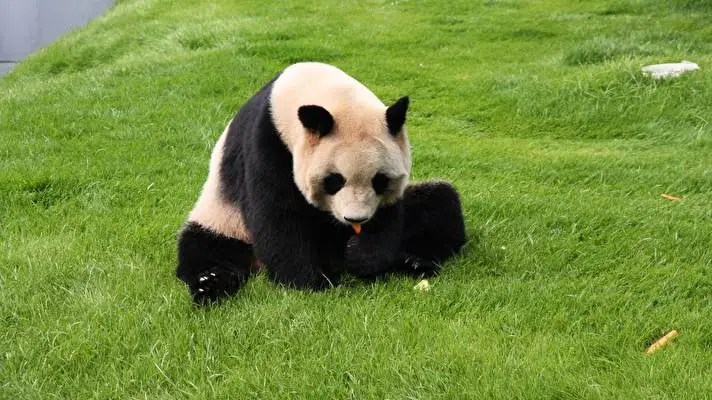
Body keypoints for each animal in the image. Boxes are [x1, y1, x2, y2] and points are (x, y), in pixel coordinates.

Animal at [176, 62, 466, 304]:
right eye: (334, 181)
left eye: (379, 181)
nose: (355, 219)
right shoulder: (266, 143)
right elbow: (277, 214)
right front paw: (309, 281)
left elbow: (388, 215)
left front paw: (363, 257)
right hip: (225, 219)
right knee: (207, 248)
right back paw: (210, 283)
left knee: (439, 204)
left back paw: (415, 260)